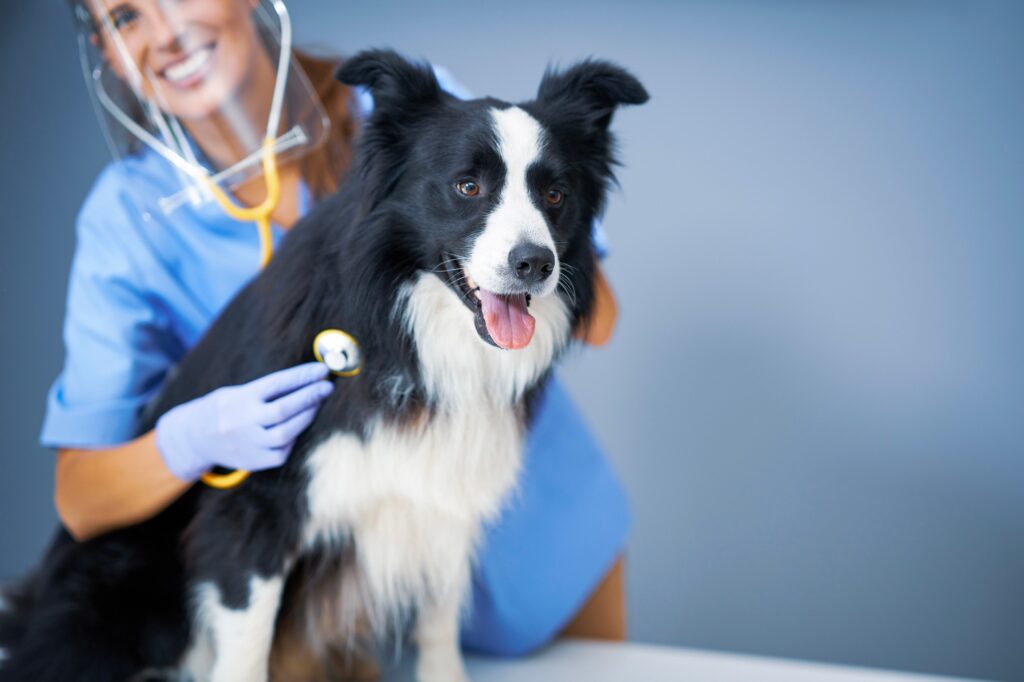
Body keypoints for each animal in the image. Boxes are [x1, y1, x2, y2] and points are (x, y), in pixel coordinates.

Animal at [0, 49, 643, 679]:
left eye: (555, 195)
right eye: (467, 186)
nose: (535, 263)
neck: (407, 330)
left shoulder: (441, 500)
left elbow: (438, 628)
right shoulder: (252, 510)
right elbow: (246, 648)